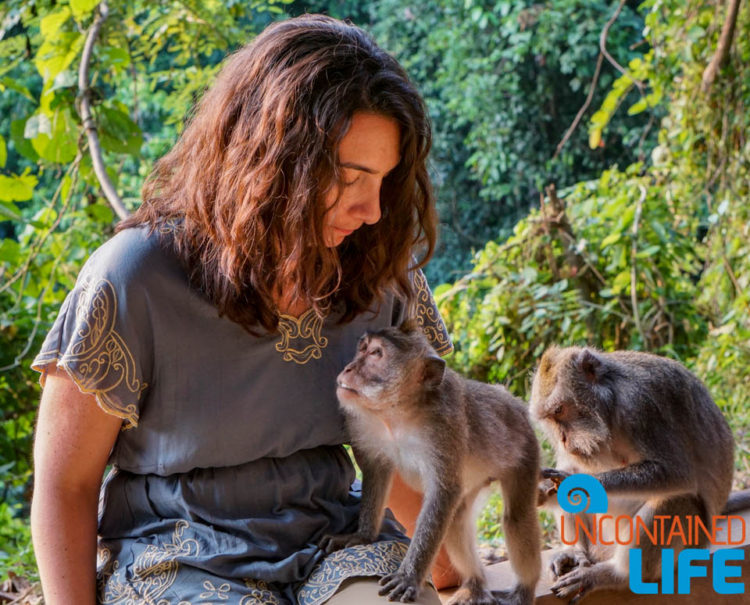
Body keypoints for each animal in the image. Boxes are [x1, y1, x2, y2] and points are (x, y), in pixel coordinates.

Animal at [322, 324, 540, 604]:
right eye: (362, 349)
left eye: (376, 353)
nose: (348, 368)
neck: (397, 413)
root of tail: (514, 401)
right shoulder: (364, 424)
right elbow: (377, 471)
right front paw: (362, 535)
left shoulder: (444, 427)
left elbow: (442, 493)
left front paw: (409, 576)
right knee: (457, 522)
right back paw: (475, 584)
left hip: (525, 451)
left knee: (516, 518)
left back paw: (524, 590)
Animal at [532, 346, 736, 600]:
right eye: (551, 418)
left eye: (559, 410)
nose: (562, 439)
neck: (610, 408)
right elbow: (568, 468)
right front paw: (542, 490)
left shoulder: (640, 407)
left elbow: (677, 473)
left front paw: (577, 484)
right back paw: (574, 553)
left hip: (691, 542)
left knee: (677, 501)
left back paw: (614, 575)